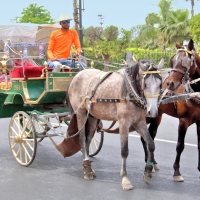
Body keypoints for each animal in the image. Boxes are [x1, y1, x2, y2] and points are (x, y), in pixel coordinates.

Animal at [67, 55, 164, 190]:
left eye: (160, 84)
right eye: (145, 84)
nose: (153, 111)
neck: (130, 91)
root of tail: (76, 77)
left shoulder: (139, 121)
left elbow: (150, 144)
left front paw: (148, 172)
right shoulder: (124, 122)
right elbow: (124, 151)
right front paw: (125, 179)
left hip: (92, 116)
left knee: (87, 140)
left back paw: (89, 168)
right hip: (81, 113)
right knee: (81, 138)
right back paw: (87, 169)